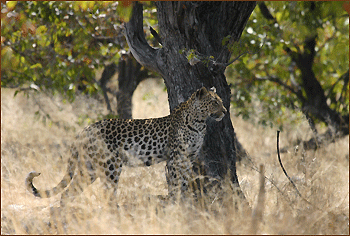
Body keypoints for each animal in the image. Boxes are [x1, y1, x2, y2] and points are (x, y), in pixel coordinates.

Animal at [24, 86, 227, 206]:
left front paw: (183, 201)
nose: (225, 111)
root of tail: (84, 130)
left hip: (88, 168)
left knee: (68, 193)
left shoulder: (188, 158)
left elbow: (184, 181)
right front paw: (175, 202)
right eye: (214, 102)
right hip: (111, 166)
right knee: (107, 194)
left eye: (221, 101)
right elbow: (176, 182)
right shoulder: (176, 158)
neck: (199, 122)